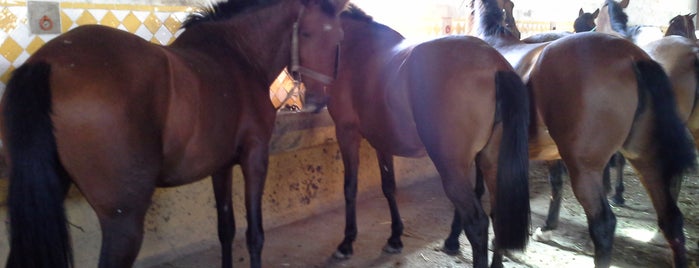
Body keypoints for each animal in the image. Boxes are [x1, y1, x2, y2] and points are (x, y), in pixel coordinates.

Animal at [0, 0, 348, 268]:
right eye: (307, 32)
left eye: (338, 38)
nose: (317, 101)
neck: (238, 55)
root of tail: (47, 63)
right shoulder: (255, 158)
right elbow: (255, 235)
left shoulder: (221, 166)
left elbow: (226, 229)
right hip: (123, 222)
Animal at [300, 4, 532, 268]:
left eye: (305, 32)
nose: (314, 100)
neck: (357, 49)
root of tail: (495, 66)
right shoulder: (382, 140)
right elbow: (389, 187)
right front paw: (395, 238)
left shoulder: (347, 133)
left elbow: (350, 187)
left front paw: (347, 243)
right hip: (491, 163)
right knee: (497, 213)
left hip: (452, 168)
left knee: (477, 223)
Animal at [446, 0, 696, 266]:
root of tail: (632, 56)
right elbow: (551, 186)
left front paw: (453, 240)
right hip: (646, 160)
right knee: (671, 219)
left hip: (585, 169)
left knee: (604, 224)